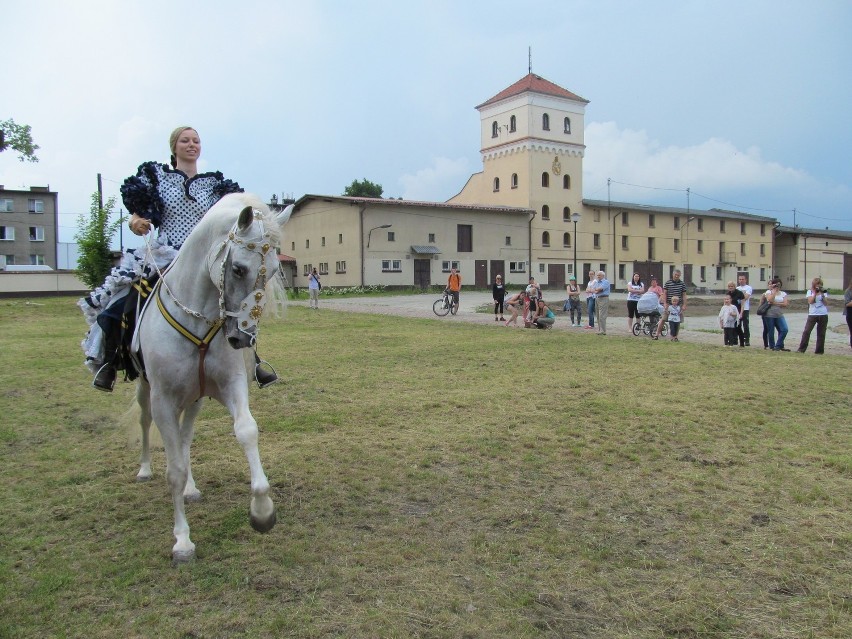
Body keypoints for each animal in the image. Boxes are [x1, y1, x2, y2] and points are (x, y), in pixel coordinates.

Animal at [131, 192, 292, 564]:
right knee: (146, 424)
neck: (198, 319)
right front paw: (182, 541)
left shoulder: (231, 387)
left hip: (195, 398)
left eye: (274, 271)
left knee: (185, 438)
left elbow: (246, 431)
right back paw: (145, 469)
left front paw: (262, 512)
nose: (243, 338)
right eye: (238, 268)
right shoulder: (163, 400)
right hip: (147, 392)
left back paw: (191, 488)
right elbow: (173, 470)